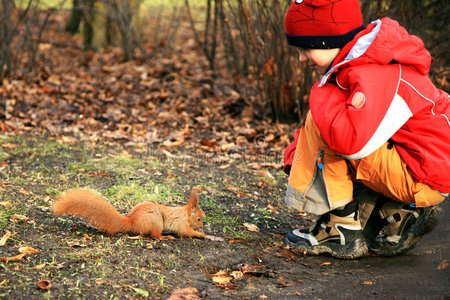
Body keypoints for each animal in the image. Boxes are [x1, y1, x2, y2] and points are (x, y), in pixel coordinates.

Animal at [53, 188, 206, 239]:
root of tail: (132, 222)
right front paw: (199, 234)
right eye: (199, 219)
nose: (201, 226)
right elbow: (185, 231)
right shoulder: (180, 222)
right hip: (155, 221)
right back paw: (165, 237)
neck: (185, 213)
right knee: (154, 236)